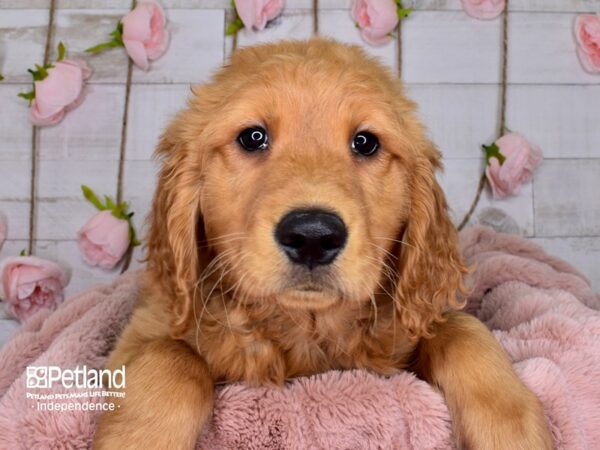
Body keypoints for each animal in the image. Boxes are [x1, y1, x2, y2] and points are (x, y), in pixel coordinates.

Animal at [95, 39, 552, 450]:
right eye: (252, 137)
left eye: (365, 142)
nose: (312, 236)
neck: (305, 329)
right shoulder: (142, 331)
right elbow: (173, 357)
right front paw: (137, 438)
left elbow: (463, 329)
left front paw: (512, 430)